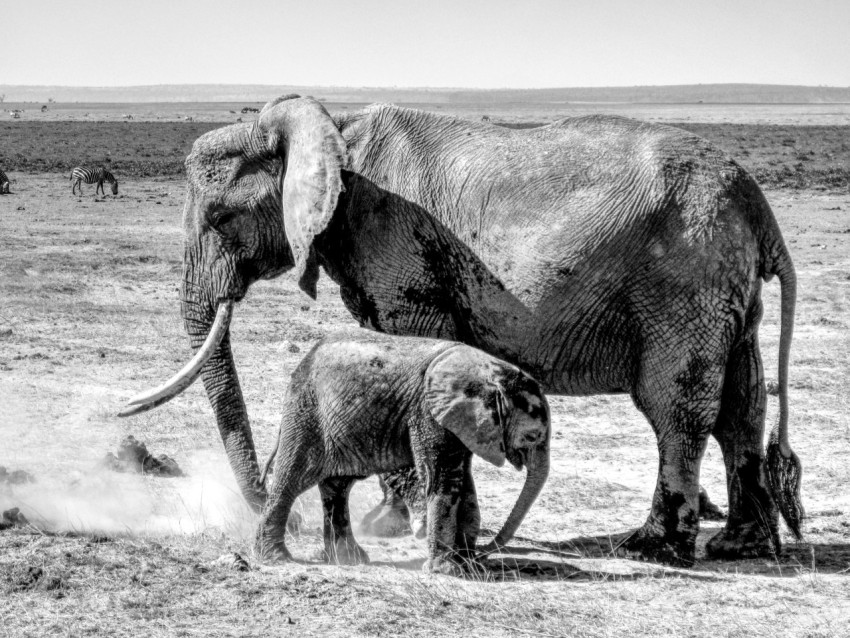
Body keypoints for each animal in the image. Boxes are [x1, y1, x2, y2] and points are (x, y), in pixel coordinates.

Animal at [255, 330, 548, 576]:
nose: (484, 554)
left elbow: (464, 484)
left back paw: (349, 559)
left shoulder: (458, 424)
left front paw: (466, 566)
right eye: (532, 437)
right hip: (306, 413)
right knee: (291, 480)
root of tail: (305, 359)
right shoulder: (428, 415)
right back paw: (275, 558)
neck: (490, 371)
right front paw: (447, 571)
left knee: (338, 487)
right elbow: (443, 481)